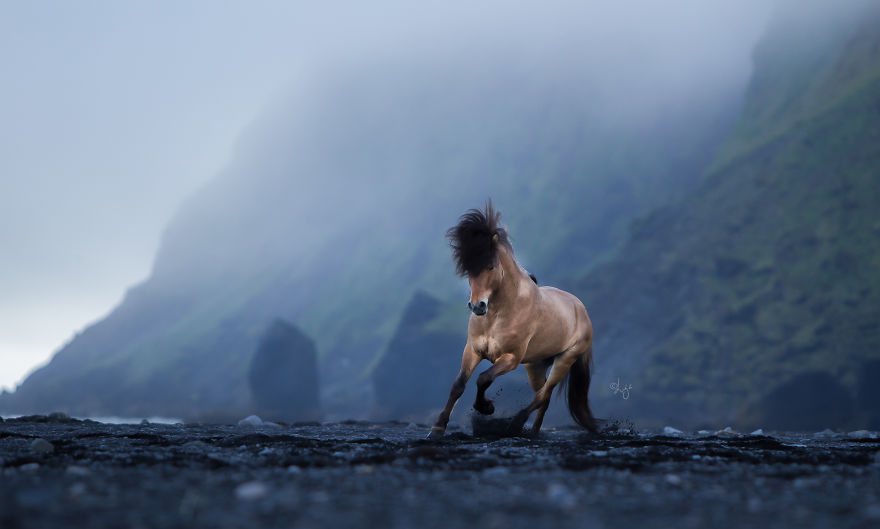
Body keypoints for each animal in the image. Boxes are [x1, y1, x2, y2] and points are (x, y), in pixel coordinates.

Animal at [426, 200, 600, 440]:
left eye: (490, 266)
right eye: (468, 268)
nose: (477, 306)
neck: (498, 314)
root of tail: (580, 308)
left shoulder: (511, 358)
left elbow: (483, 378)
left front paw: (486, 407)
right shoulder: (472, 350)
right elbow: (458, 385)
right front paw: (437, 427)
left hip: (565, 359)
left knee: (543, 394)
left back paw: (515, 425)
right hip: (535, 365)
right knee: (543, 396)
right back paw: (533, 432)